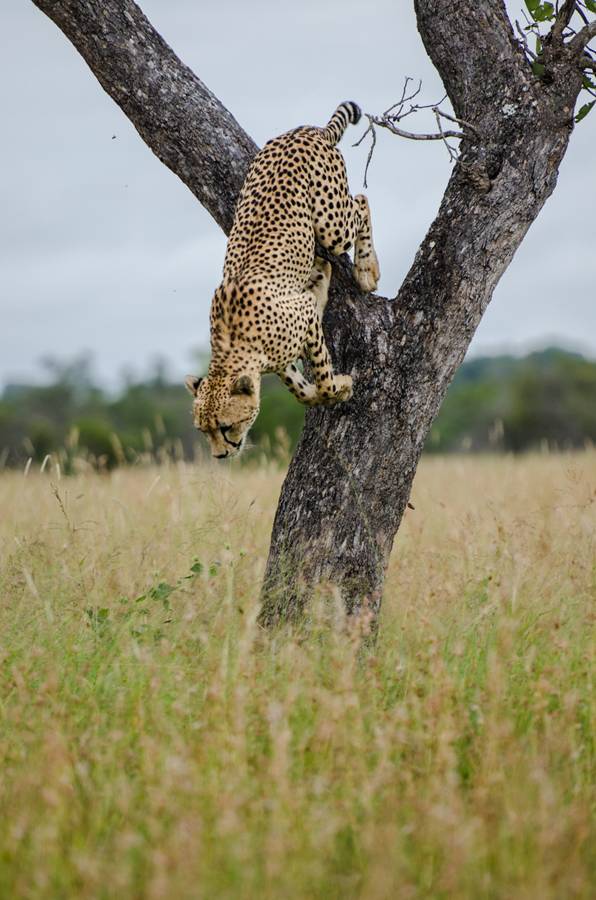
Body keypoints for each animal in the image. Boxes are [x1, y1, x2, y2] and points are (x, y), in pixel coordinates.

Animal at [186, 101, 380, 459]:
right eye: (202, 431)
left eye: (225, 427)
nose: (220, 455)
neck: (232, 345)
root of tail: (304, 130)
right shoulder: (278, 360)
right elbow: (302, 391)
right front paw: (328, 391)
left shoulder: (303, 316)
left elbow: (323, 377)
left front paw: (339, 387)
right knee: (325, 257)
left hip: (332, 226)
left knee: (360, 202)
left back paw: (366, 269)